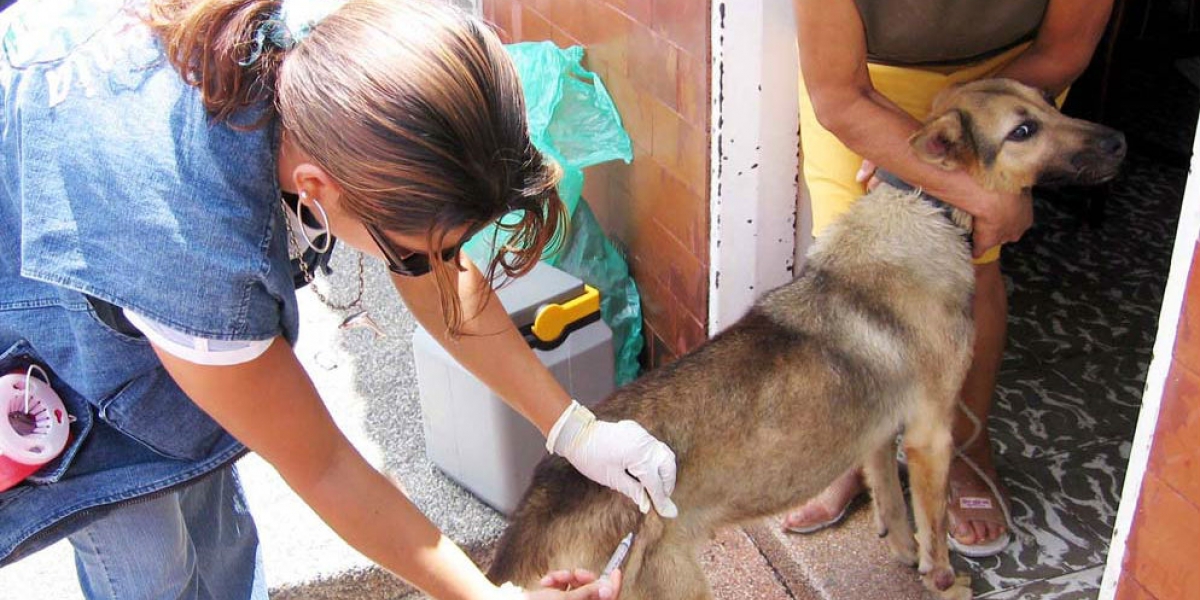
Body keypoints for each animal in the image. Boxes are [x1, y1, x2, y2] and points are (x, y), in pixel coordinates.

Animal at [487, 79, 1123, 600]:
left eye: (1048, 100)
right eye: (1023, 130)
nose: (1119, 139)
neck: (922, 203)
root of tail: (541, 504)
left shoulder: (878, 428)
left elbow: (891, 499)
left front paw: (901, 551)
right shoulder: (930, 434)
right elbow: (934, 525)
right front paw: (941, 579)